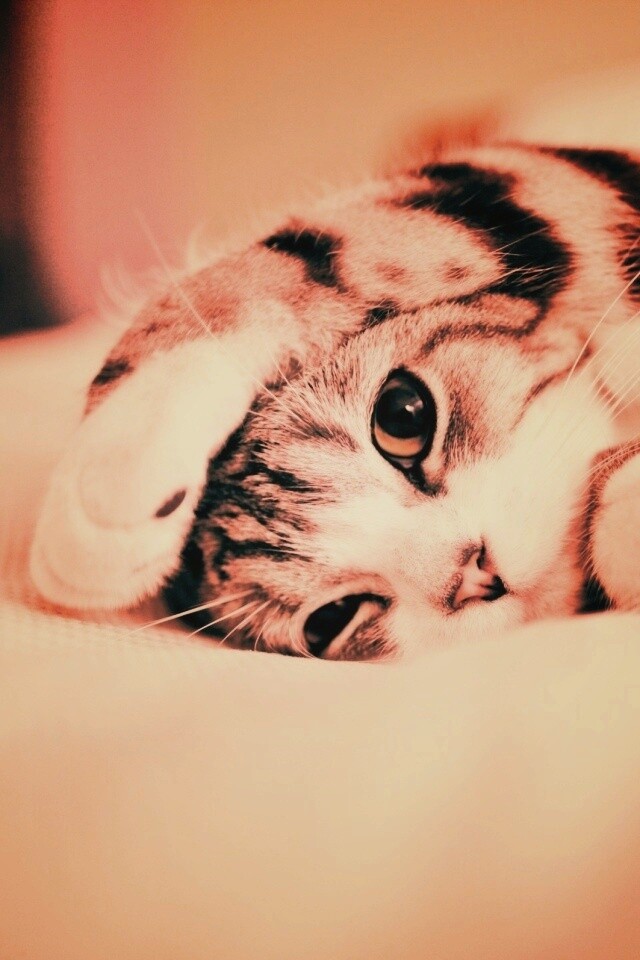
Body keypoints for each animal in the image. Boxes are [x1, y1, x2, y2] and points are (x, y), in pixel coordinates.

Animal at [29, 144, 640, 659]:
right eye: (331, 620)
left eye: (401, 415)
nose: (471, 576)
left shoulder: (520, 180)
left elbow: (304, 251)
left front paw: (110, 476)